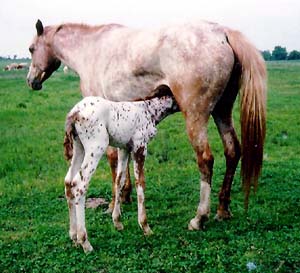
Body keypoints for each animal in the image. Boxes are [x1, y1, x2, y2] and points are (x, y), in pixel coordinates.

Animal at [27, 18, 266, 230]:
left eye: (31, 49)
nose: (31, 81)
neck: (90, 49)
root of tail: (222, 32)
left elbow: (113, 161)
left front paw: (113, 204)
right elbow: (122, 166)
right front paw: (125, 196)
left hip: (196, 117)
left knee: (206, 160)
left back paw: (199, 218)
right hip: (222, 112)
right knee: (232, 151)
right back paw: (222, 210)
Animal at [63, 92, 178, 251]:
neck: (150, 111)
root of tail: (74, 113)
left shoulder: (124, 149)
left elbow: (119, 181)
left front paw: (117, 222)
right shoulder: (139, 147)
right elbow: (140, 183)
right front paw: (145, 226)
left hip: (79, 146)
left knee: (68, 181)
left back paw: (74, 237)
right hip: (96, 146)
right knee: (79, 185)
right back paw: (85, 242)